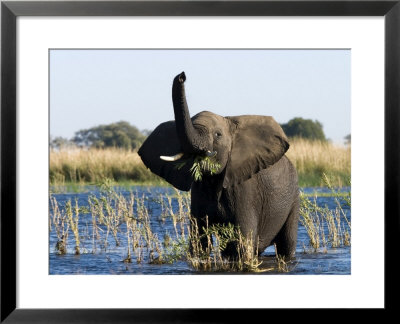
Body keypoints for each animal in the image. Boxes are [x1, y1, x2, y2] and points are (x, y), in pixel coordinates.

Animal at [139, 71, 298, 258]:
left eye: (218, 135)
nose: (182, 75)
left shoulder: (246, 189)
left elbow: (243, 244)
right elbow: (199, 243)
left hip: (293, 198)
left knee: (286, 244)